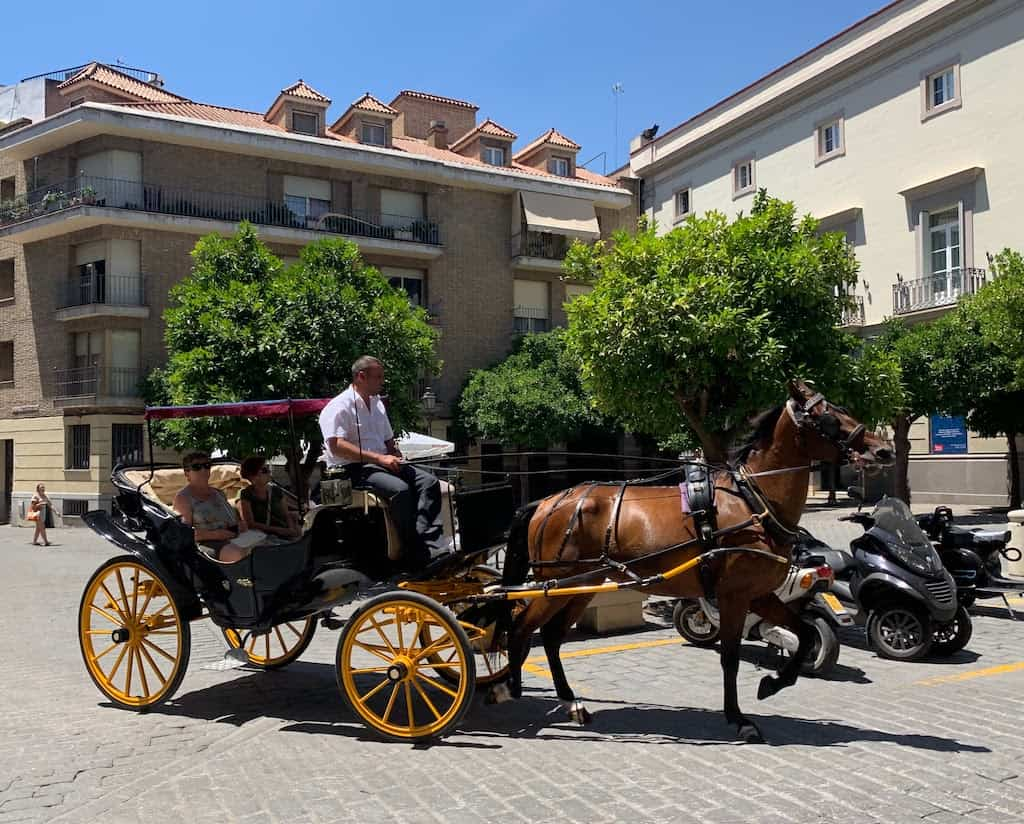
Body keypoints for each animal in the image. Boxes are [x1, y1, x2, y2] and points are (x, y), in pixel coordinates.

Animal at [491, 382, 892, 741]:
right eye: (829, 416)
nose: (883, 449)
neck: (752, 501)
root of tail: (546, 502)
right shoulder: (733, 596)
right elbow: (730, 656)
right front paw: (739, 718)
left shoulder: (759, 594)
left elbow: (806, 635)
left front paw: (773, 683)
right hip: (556, 584)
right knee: (522, 628)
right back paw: (508, 687)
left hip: (580, 585)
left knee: (552, 637)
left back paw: (570, 701)